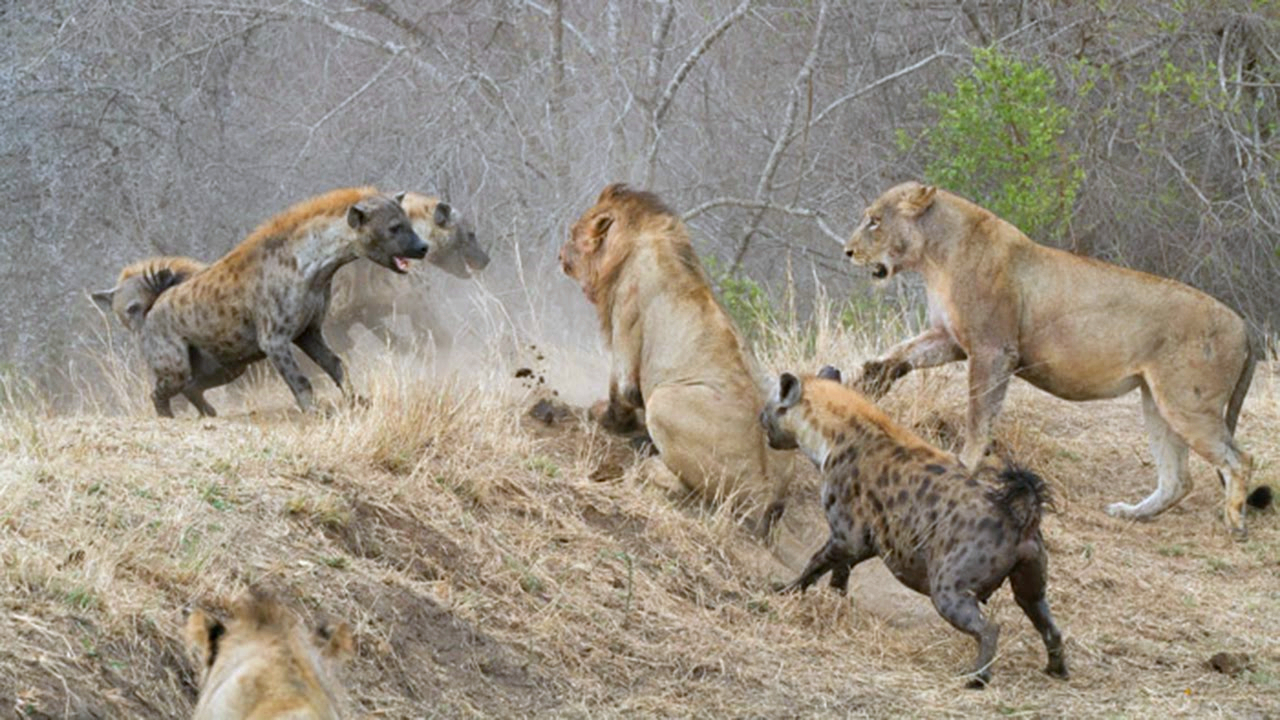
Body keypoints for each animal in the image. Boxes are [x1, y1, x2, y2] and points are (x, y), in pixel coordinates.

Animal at [560, 181, 788, 535]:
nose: (560, 255)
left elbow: (619, 393)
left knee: (685, 486)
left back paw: (649, 460)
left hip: (665, 402)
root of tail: (764, 492)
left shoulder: (625, 325)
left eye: (573, 233)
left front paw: (604, 418)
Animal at [839, 181, 1269, 535]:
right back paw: (1131, 513)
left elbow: (979, 415)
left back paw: (1234, 521)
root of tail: (1243, 323)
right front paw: (870, 378)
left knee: (1240, 459)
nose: (848, 252)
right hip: (1157, 401)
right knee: (1179, 478)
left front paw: (966, 464)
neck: (935, 255)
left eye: (874, 221)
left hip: (1188, 402)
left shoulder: (993, 349)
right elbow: (904, 352)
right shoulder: (951, 339)